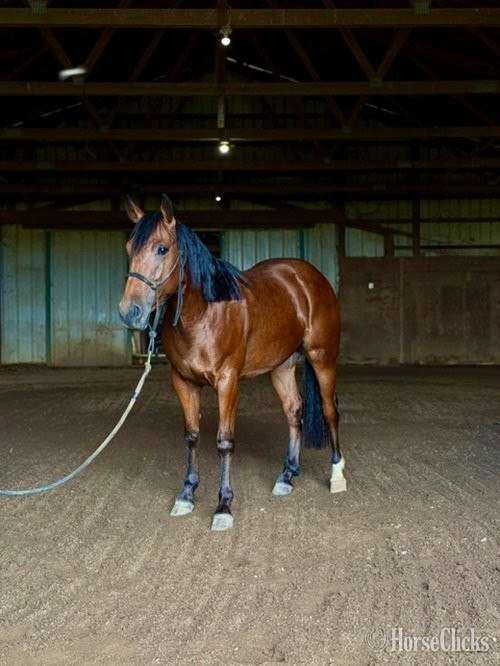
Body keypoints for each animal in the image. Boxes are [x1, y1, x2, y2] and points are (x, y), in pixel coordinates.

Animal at [118, 195, 346, 531]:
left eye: (161, 248)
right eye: (128, 248)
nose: (129, 311)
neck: (203, 313)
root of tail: (309, 277)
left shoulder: (227, 383)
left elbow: (224, 442)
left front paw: (223, 506)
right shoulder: (183, 381)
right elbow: (192, 436)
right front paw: (186, 495)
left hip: (323, 357)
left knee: (330, 411)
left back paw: (337, 475)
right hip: (281, 367)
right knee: (294, 411)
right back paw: (287, 476)